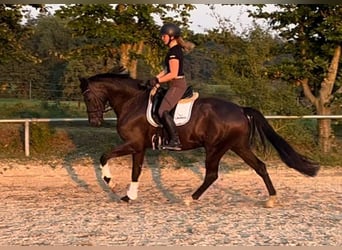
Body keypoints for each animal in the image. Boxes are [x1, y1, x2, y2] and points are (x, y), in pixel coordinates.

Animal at [79, 73, 320, 208]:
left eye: (88, 96)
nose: (94, 121)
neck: (133, 102)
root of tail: (241, 109)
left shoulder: (133, 144)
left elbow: (104, 156)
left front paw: (110, 181)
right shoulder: (139, 147)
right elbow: (136, 171)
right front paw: (129, 197)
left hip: (215, 148)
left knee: (212, 174)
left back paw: (190, 199)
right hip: (238, 146)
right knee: (260, 166)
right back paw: (271, 199)